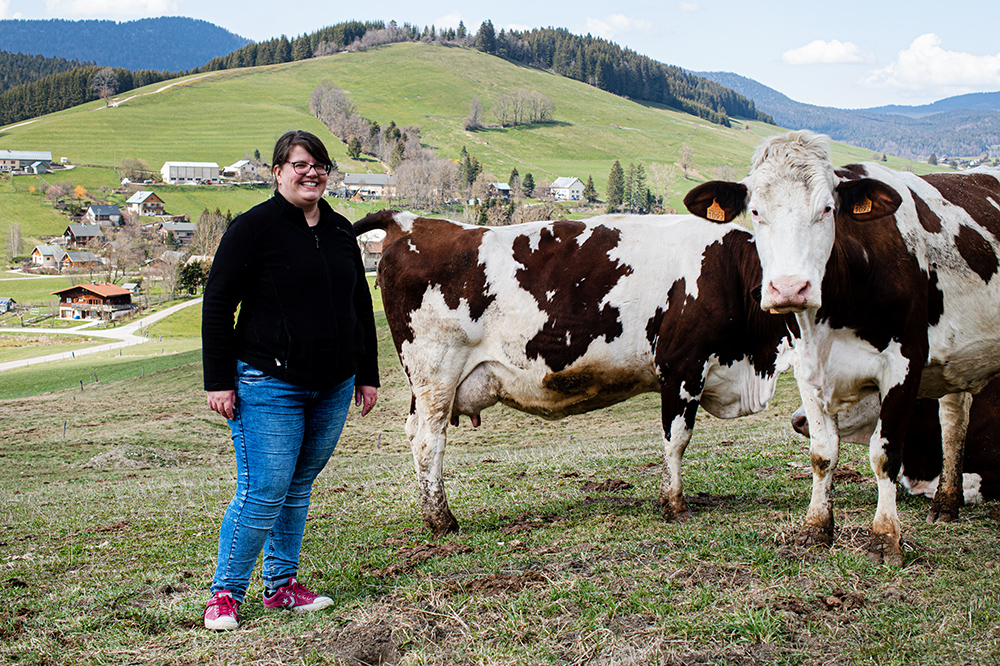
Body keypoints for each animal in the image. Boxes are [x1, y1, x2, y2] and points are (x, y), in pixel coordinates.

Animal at [356, 208, 792, 536]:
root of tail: (412, 222)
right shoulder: (684, 367)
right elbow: (676, 440)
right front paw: (674, 504)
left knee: (416, 434)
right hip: (436, 373)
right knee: (428, 441)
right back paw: (442, 520)